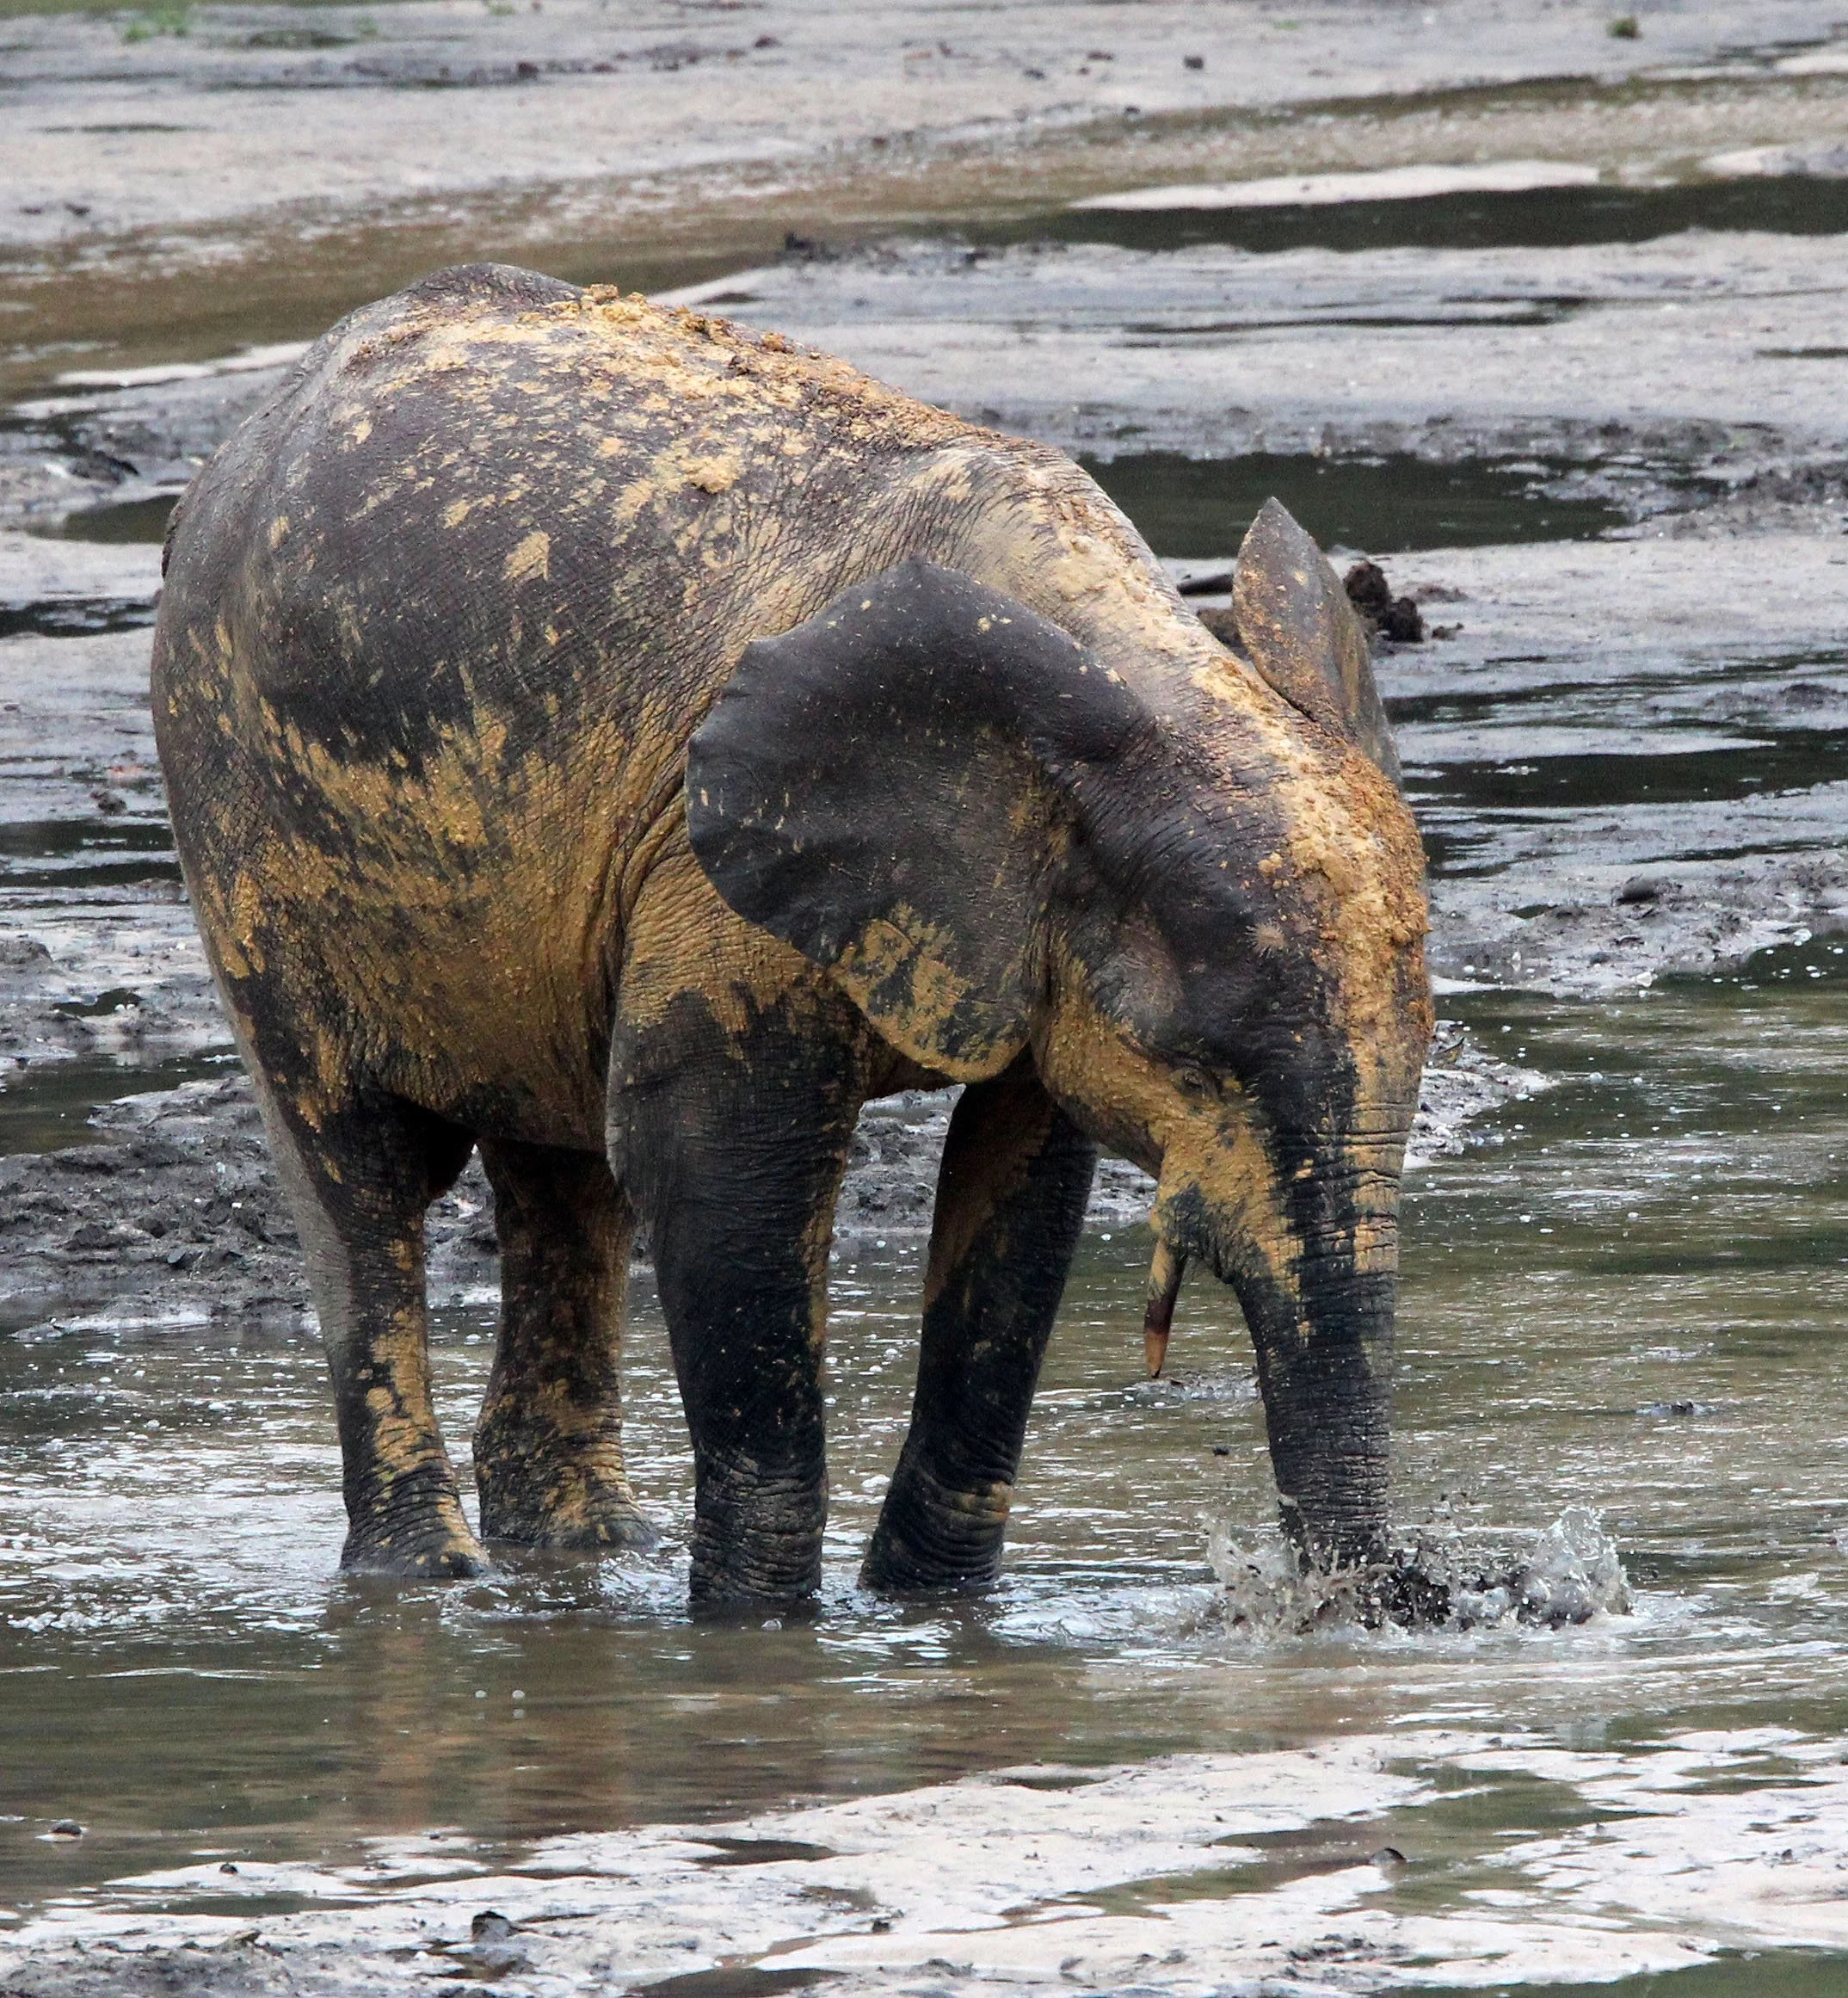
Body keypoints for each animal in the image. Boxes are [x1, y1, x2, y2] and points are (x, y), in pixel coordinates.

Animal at [151, 262, 1431, 1609]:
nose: (1384, 1602)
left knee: (562, 1175)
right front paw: (754, 1628)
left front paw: (929, 1606)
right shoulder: (708, 855)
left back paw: (583, 1553)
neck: (1125, 671)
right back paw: (430, 1579)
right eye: (1204, 1062)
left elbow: (1022, 1195)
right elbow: (716, 1154)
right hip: (231, 803)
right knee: (357, 1170)